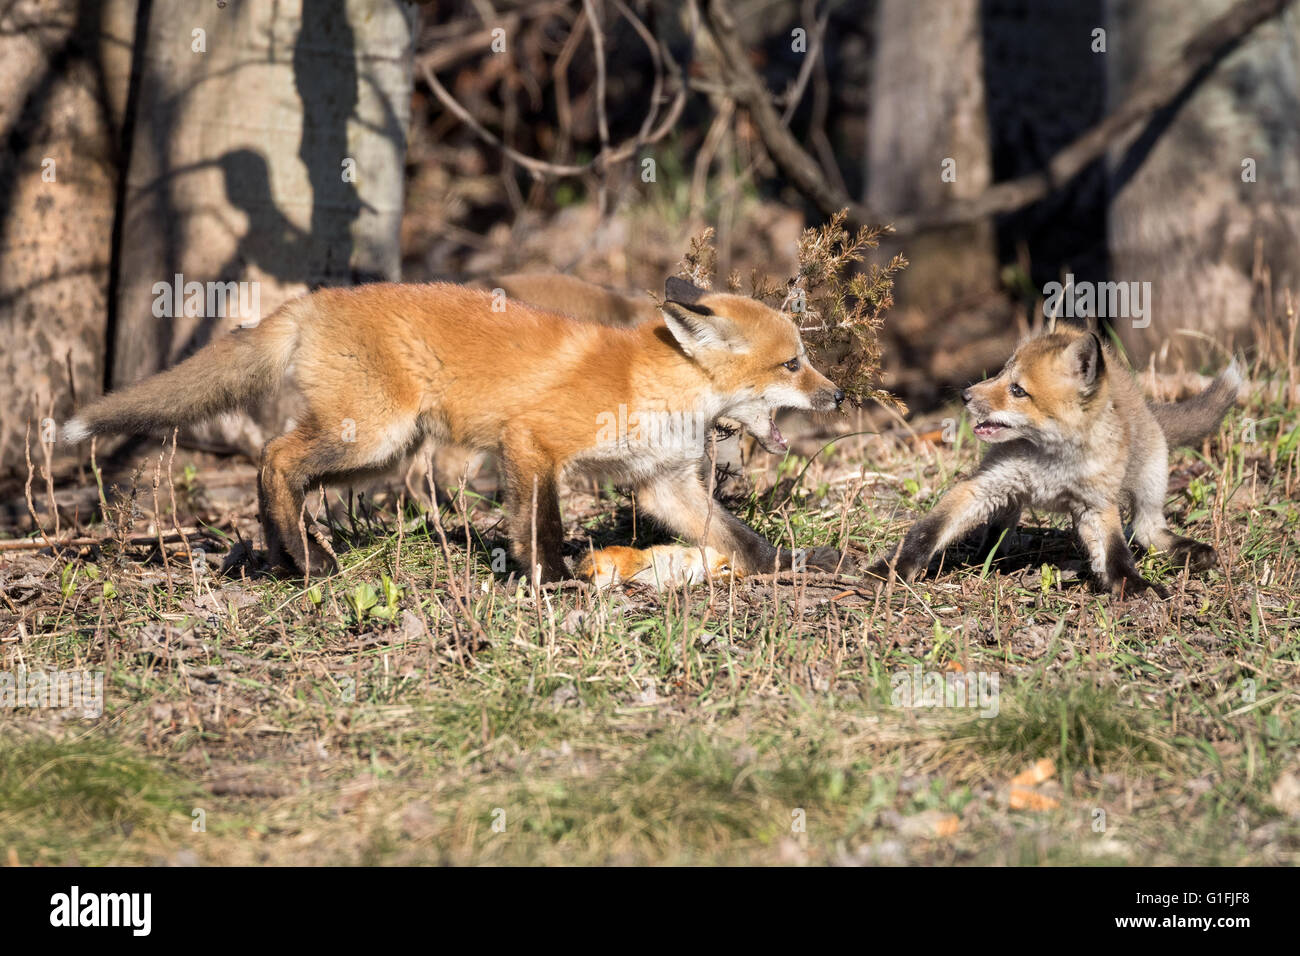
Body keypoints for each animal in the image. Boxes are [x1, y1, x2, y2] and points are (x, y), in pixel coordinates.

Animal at [65, 273, 847, 580]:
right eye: (793, 363)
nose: (839, 396)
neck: (657, 383)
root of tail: (314, 301)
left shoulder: (665, 487)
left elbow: (744, 541)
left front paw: (808, 562)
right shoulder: (530, 442)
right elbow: (540, 527)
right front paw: (550, 582)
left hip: (378, 453)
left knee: (279, 463)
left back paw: (289, 556)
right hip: (369, 435)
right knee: (274, 457)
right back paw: (307, 562)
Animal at [868, 329, 1242, 598]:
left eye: (1018, 390)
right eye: (1001, 373)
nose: (965, 396)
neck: (1052, 463)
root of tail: (1144, 403)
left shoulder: (1096, 506)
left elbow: (1116, 553)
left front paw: (1134, 586)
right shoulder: (983, 486)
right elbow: (927, 531)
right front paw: (889, 569)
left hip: (1151, 478)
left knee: (1146, 530)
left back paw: (1189, 550)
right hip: (1008, 493)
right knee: (1001, 525)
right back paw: (990, 556)